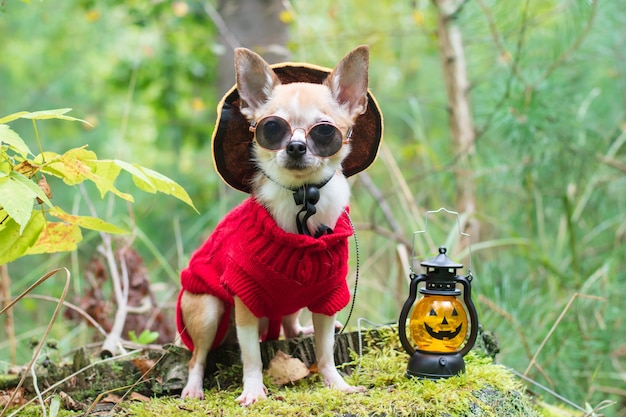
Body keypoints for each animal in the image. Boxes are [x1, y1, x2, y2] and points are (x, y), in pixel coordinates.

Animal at [178, 44, 368, 404]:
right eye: (272, 129)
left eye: (324, 131)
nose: (295, 146)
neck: (302, 200)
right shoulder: (245, 300)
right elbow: (251, 355)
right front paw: (253, 391)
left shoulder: (328, 298)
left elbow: (325, 351)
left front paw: (336, 384)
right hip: (207, 309)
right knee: (197, 356)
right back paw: (193, 388)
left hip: (287, 306)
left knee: (291, 325)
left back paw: (300, 330)